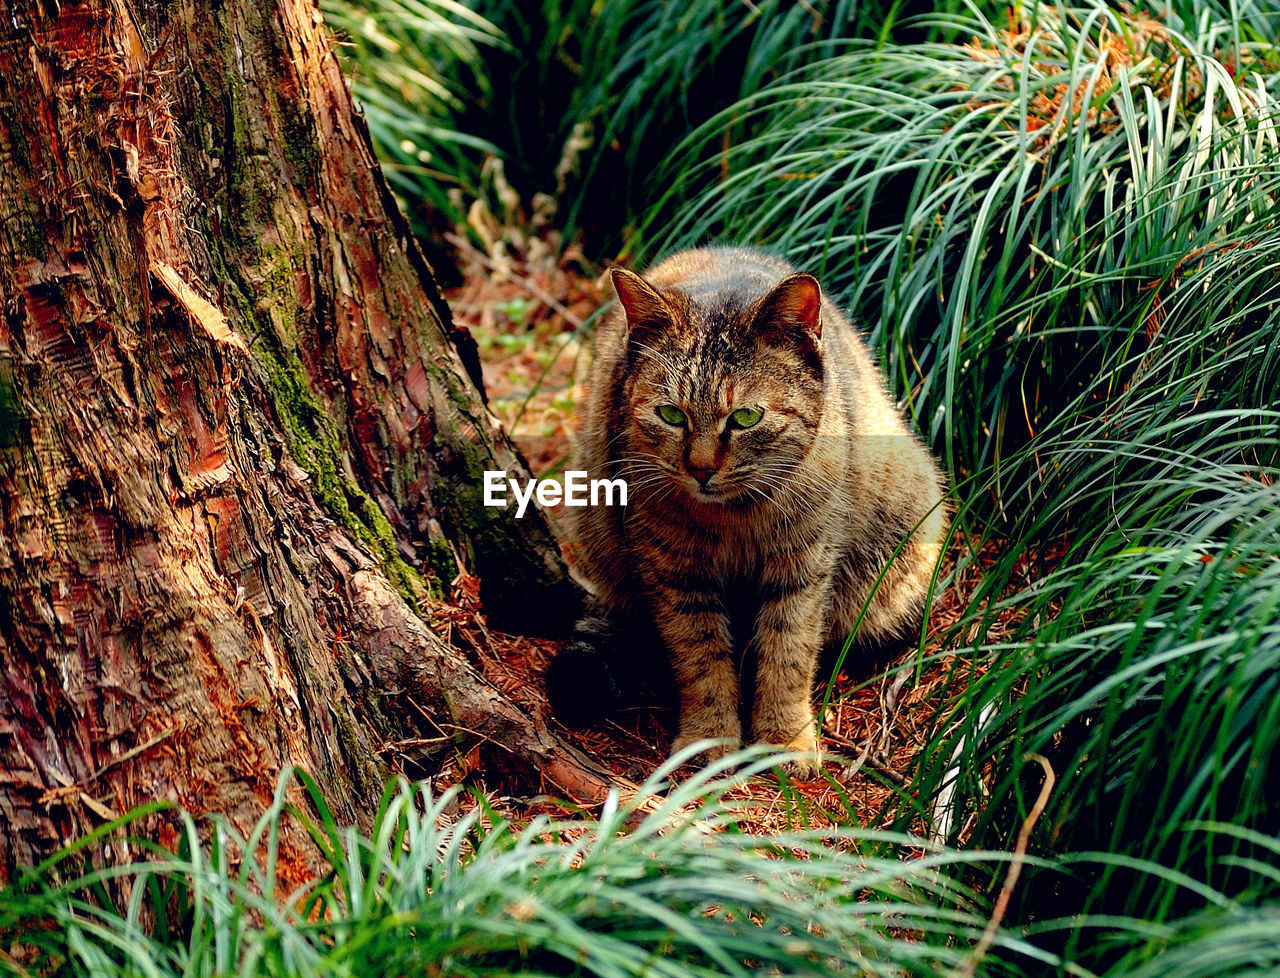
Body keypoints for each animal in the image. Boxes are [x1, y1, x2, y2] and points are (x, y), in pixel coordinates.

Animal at [545, 245, 947, 778]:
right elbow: (701, 660)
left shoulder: (803, 567)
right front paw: (708, 738)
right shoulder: (675, 573)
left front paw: (785, 739)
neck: (734, 518)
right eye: (671, 414)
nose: (699, 469)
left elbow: (788, 655)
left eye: (746, 418)